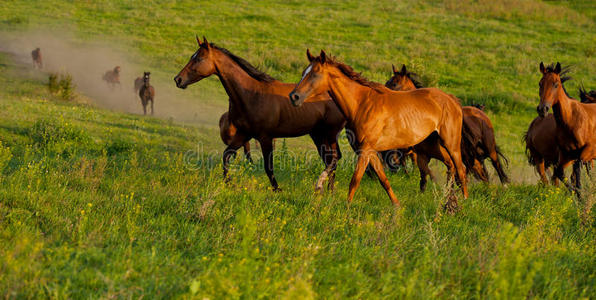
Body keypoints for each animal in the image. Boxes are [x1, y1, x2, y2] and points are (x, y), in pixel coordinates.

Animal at [172, 38, 344, 192]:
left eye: (199, 58)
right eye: (192, 56)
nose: (178, 79)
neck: (252, 94)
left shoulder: (265, 137)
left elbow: (268, 167)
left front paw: (277, 190)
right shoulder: (244, 134)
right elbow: (226, 155)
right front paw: (228, 184)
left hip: (329, 135)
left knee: (334, 159)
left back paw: (327, 190)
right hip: (317, 135)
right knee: (330, 159)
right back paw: (328, 191)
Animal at [288, 49, 466, 209]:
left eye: (315, 74)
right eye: (304, 73)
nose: (294, 96)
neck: (362, 104)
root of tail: (452, 100)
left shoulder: (365, 151)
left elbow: (355, 180)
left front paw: (347, 209)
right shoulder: (371, 152)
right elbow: (383, 180)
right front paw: (396, 206)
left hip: (450, 144)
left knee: (460, 168)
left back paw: (464, 201)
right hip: (432, 146)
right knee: (450, 166)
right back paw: (447, 198)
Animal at [536, 61, 596, 196]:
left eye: (556, 84)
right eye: (540, 83)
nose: (543, 109)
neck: (572, 120)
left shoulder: (587, 152)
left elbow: (578, 172)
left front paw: (580, 195)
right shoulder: (566, 154)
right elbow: (560, 173)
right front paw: (576, 195)